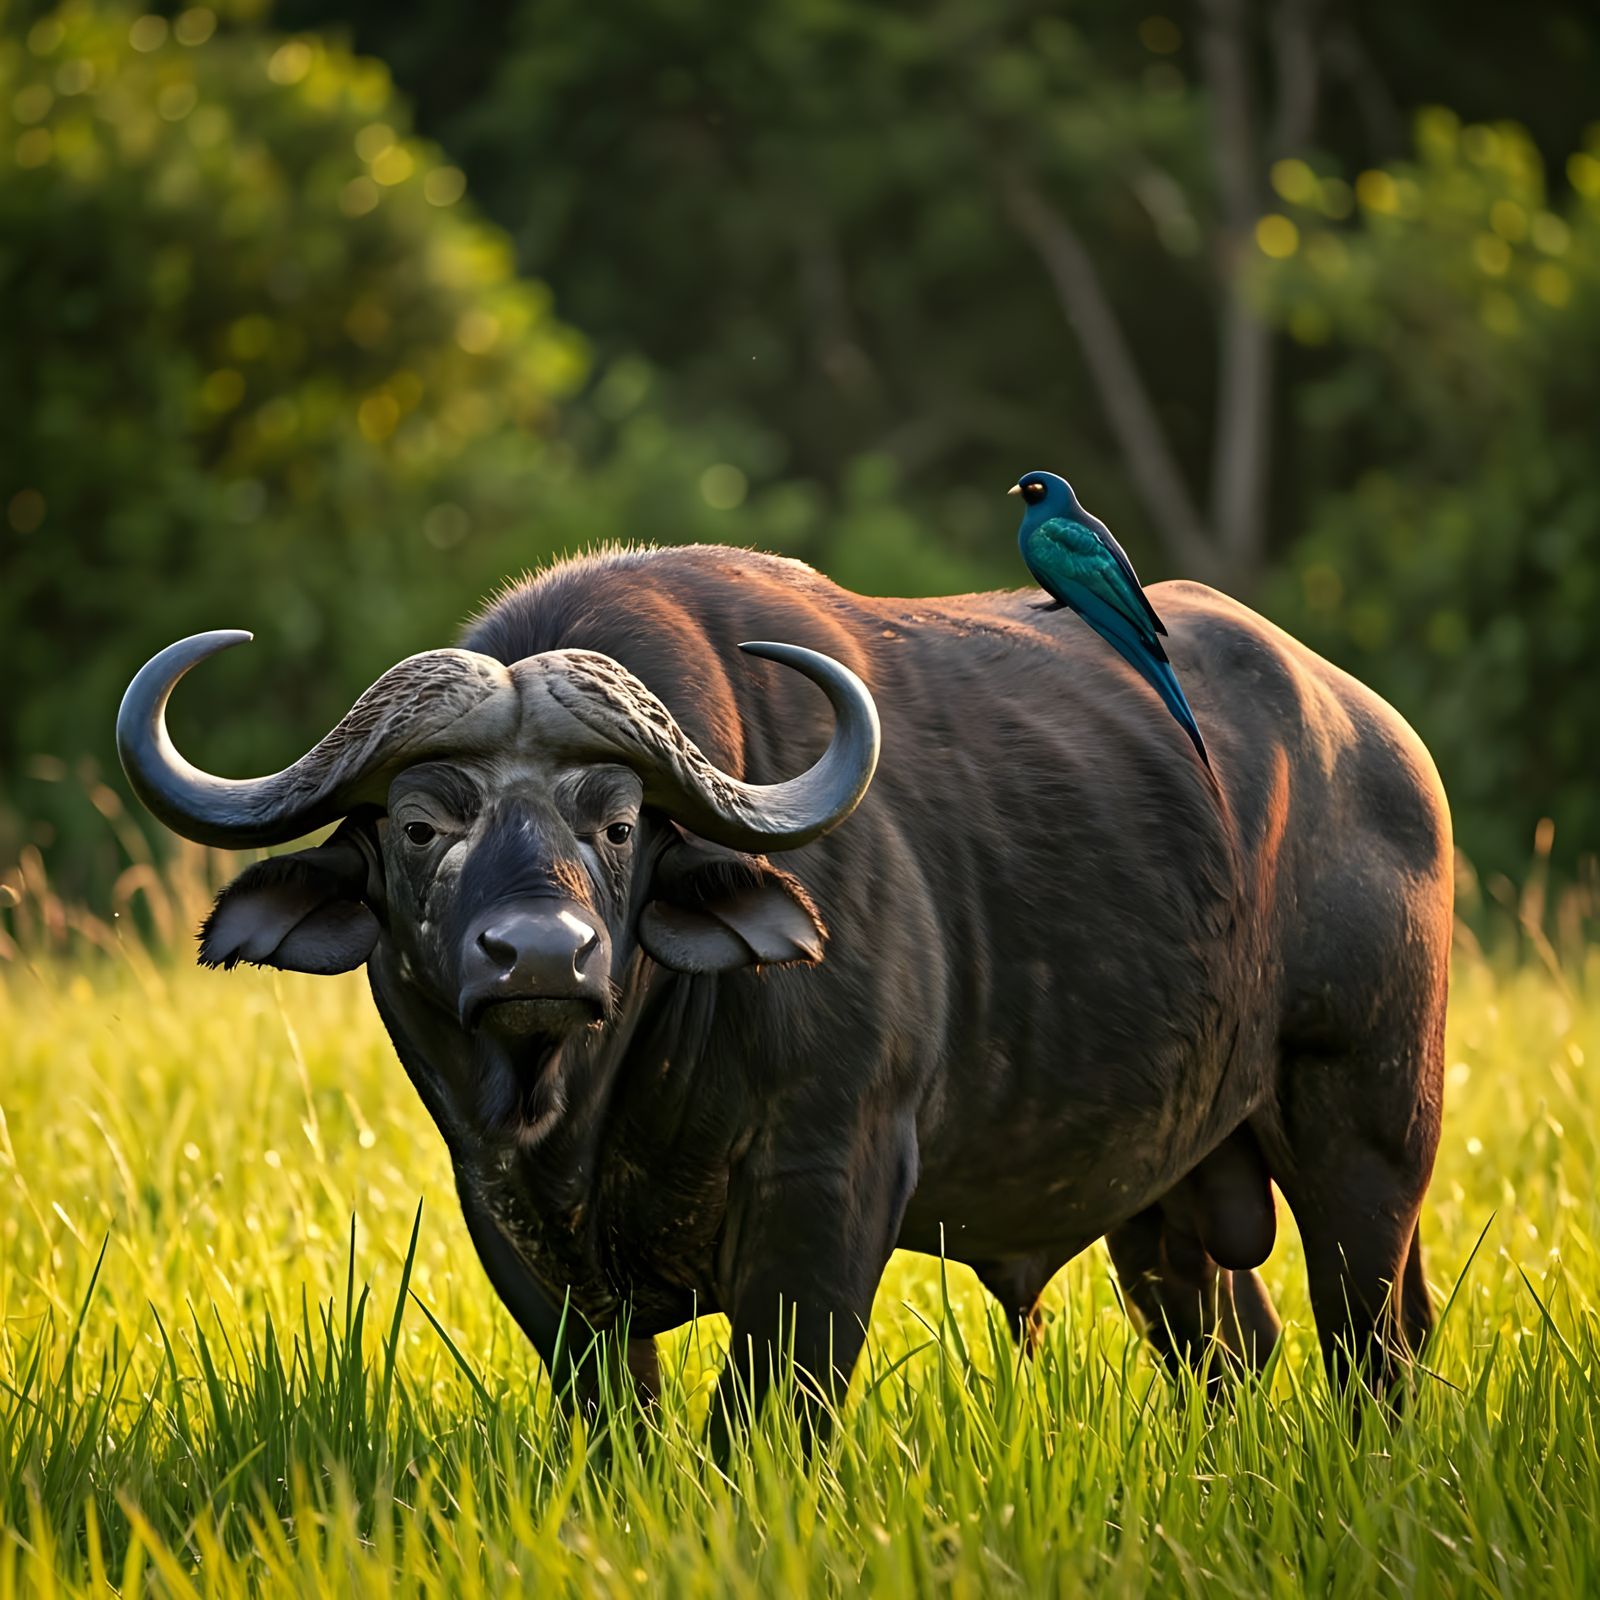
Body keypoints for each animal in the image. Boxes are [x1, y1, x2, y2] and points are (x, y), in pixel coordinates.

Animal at [118, 544, 1450, 1417]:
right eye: (417, 825)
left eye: (618, 823)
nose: (542, 954)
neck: (598, 1096)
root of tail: (1378, 740)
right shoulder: (506, 1219)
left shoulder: (830, 1183)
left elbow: (760, 1417)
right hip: (1170, 1187)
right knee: (1228, 1342)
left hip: (1371, 1124)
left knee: (1373, 1335)